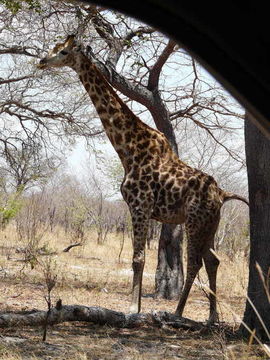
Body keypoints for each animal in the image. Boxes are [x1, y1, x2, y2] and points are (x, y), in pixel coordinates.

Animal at [38, 35, 249, 324]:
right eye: (54, 48)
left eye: (63, 51)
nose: (42, 61)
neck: (127, 150)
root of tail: (223, 194)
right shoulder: (142, 209)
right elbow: (139, 257)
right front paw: (136, 307)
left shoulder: (140, 205)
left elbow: (137, 258)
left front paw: (132, 310)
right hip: (210, 225)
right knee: (213, 260)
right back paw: (212, 317)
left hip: (195, 221)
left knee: (195, 261)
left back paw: (178, 312)